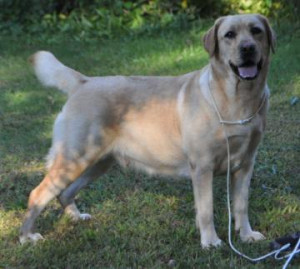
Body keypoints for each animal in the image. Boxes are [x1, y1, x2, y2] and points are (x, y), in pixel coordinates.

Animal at [19, 13, 276, 246]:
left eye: (256, 31)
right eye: (229, 35)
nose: (248, 48)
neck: (238, 100)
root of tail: (84, 82)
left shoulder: (245, 164)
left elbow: (241, 205)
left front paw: (246, 235)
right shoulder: (202, 167)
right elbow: (206, 210)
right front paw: (210, 241)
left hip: (98, 162)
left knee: (64, 192)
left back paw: (76, 217)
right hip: (74, 158)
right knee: (38, 194)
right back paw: (27, 237)